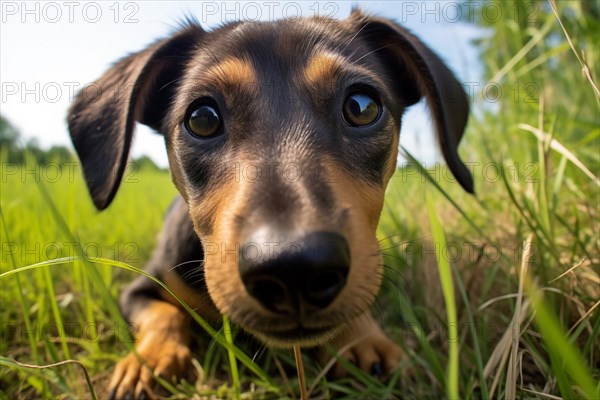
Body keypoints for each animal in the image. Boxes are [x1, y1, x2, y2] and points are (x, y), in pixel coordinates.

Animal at [68, 8, 474, 396]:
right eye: (202, 117)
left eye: (363, 106)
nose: (294, 270)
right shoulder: (139, 288)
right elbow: (164, 315)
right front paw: (149, 361)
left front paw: (363, 338)